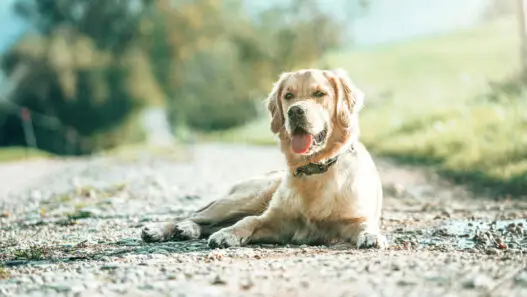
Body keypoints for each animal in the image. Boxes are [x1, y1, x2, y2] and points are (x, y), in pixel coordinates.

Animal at [140, 68, 388, 249]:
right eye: (288, 96)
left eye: (320, 94)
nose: (295, 111)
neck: (315, 169)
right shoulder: (275, 220)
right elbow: (249, 221)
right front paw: (227, 235)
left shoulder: (353, 219)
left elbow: (366, 225)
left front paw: (372, 236)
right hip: (244, 199)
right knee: (197, 215)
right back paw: (163, 229)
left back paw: (186, 230)